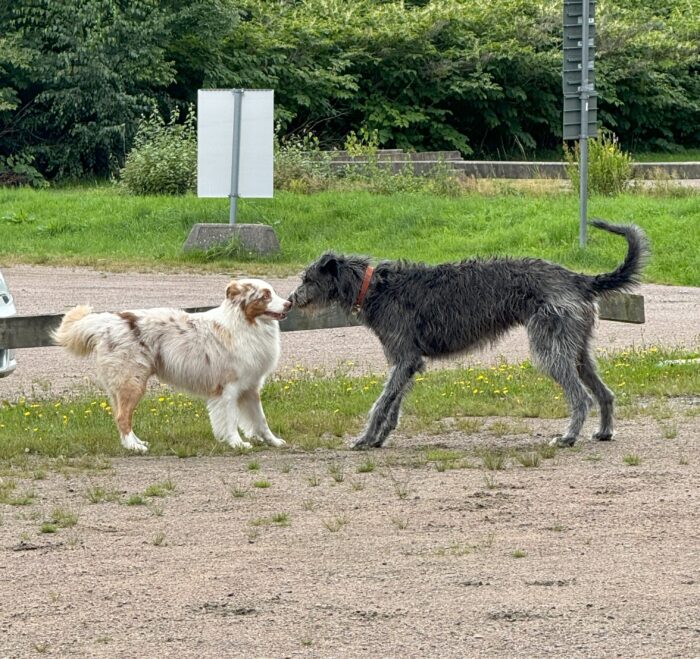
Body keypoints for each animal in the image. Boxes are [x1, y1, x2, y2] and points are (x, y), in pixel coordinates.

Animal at [52, 278, 290, 454]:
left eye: (272, 292)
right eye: (265, 296)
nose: (289, 304)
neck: (244, 324)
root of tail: (107, 322)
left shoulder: (250, 388)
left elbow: (261, 420)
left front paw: (274, 441)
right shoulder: (228, 389)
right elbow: (230, 420)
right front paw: (237, 443)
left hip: (121, 387)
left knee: (120, 416)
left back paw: (137, 442)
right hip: (133, 383)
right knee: (122, 418)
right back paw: (134, 447)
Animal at [288, 219, 648, 452]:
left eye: (308, 278)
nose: (290, 299)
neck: (374, 287)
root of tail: (577, 278)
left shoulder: (404, 358)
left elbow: (382, 401)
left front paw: (365, 438)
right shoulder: (408, 362)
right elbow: (394, 401)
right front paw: (379, 438)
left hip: (550, 347)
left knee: (581, 397)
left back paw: (568, 437)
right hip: (578, 348)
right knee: (604, 393)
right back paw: (604, 432)